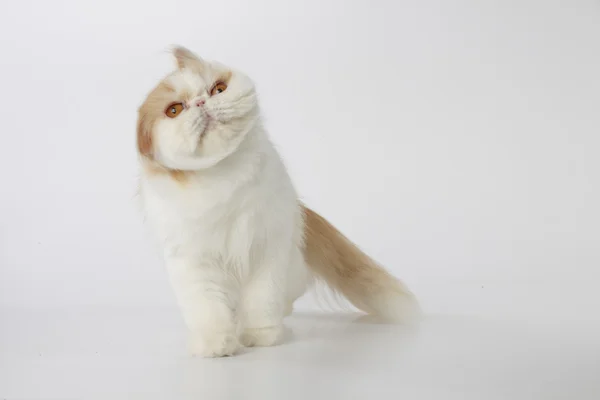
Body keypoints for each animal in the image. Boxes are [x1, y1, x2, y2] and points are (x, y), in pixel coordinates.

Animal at [137, 46, 418, 356]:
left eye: (217, 89)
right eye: (174, 110)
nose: (201, 102)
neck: (224, 176)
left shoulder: (267, 248)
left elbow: (262, 302)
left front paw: (261, 337)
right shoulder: (193, 260)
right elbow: (209, 309)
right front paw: (216, 345)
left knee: (287, 298)